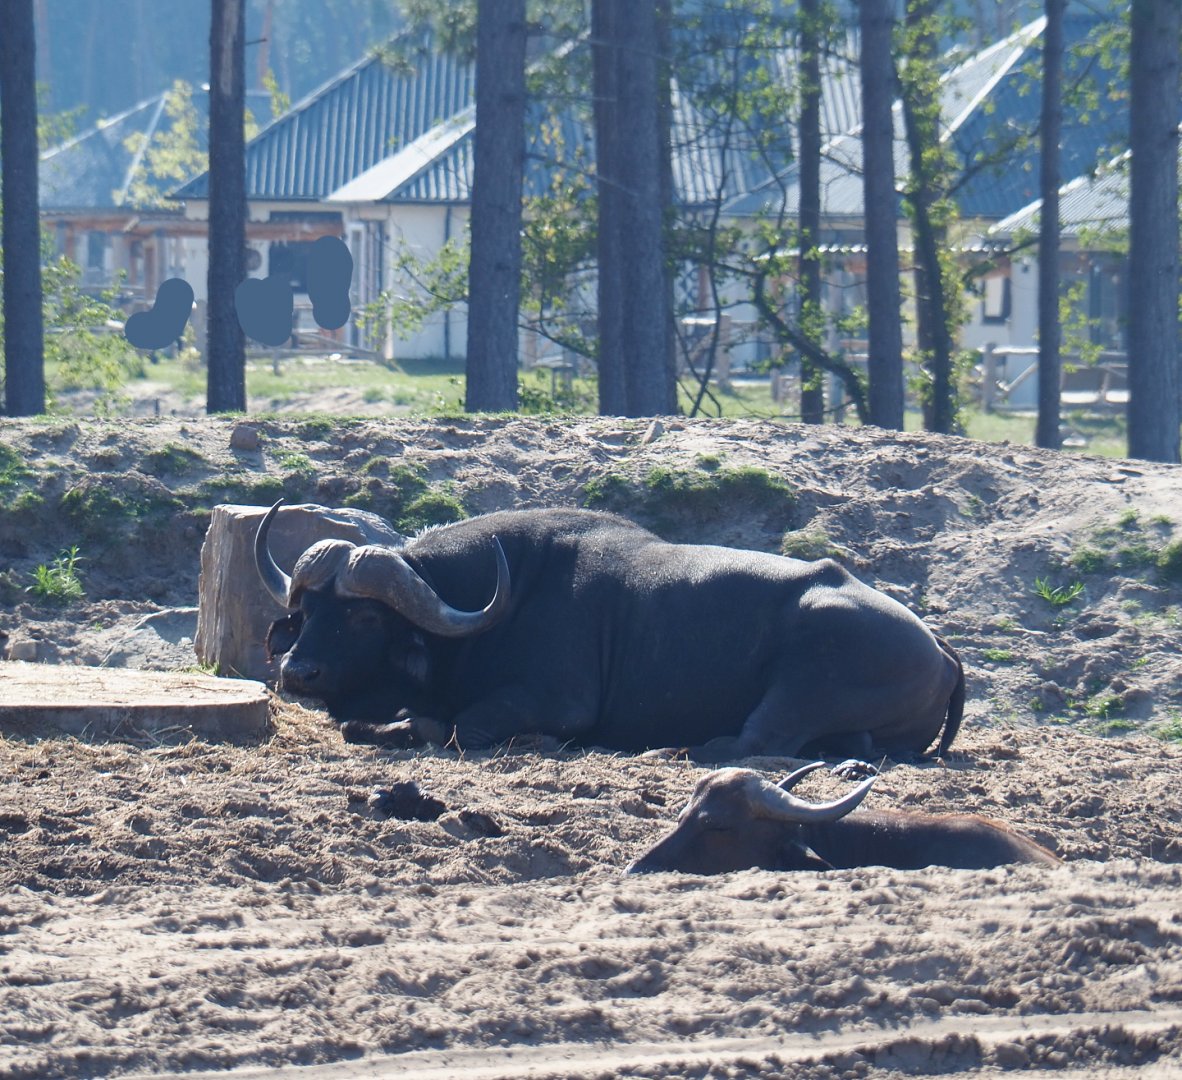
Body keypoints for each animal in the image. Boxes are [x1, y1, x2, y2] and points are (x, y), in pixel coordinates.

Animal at [256, 503, 964, 759]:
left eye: (365, 616)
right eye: (308, 611)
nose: (297, 672)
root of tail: (938, 648)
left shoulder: (555, 700)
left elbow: (460, 727)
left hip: (803, 681)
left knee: (756, 742)